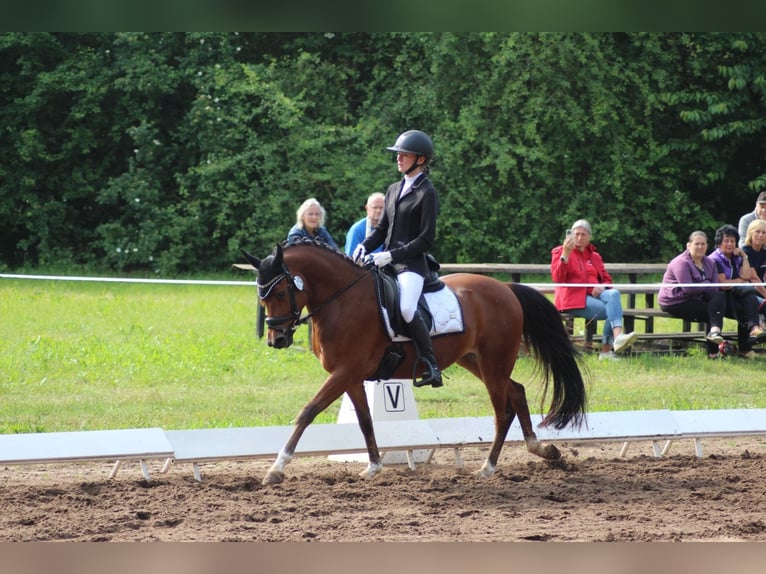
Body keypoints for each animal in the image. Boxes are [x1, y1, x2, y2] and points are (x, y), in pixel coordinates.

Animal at [243, 240, 592, 486]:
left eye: (279, 292)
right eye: (261, 296)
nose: (276, 340)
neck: (343, 300)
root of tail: (504, 287)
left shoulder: (344, 372)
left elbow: (307, 412)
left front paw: (276, 468)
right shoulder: (351, 376)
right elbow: (365, 420)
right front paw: (373, 466)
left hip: (494, 362)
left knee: (502, 411)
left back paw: (488, 467)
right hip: (476, 361)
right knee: (517, 392)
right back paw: (542, 450)